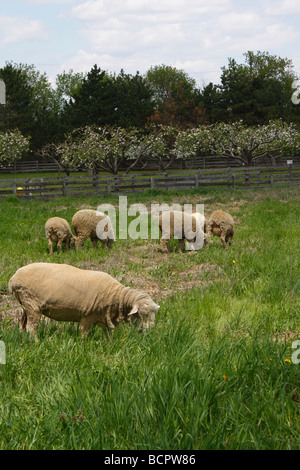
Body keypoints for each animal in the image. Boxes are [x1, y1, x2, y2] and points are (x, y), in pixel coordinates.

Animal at [8, 260, 159, 342]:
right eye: (142, 314)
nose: (150, 332)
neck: (117, 296)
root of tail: (13, 278)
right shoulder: (88, 316)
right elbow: (84, 333)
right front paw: (84, 346)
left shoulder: (102, 316)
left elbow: (107, 333)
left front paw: (109, 344)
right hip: (31, 304)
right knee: (31, 327)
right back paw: (37, 342)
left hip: (25, 304)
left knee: (22, 324)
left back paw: (24, 340)